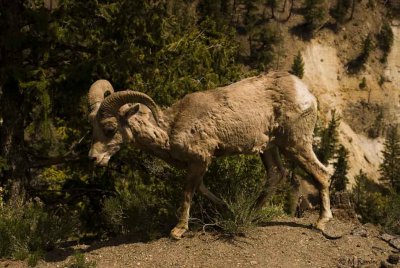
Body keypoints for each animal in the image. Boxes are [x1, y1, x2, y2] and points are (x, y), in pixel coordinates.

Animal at [88, 71, 334, 239]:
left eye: (110, 129)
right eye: (93, 129)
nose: (93, 158)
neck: (170, 128)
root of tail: (306, 93)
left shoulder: (199, 160)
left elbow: (188, 192)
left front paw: (178, 231)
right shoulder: (199, 165)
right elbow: (201, 188)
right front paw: (225, 209)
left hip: (295, 144)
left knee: (321, 173)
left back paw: (322, 223)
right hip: (270, 148)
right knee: (276, 174)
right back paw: (252, 212)